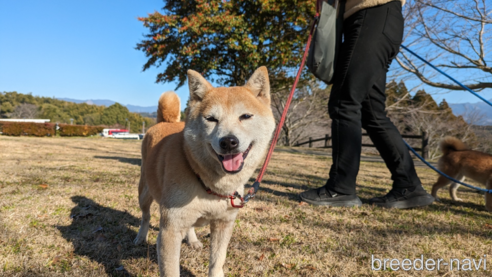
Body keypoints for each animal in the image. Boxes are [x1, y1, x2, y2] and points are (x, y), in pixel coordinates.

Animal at [133, 66, 274, 274]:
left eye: (246, 116)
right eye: (211, 119)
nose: (228, 142)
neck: (211, 184)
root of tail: (164, 122)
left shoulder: (224, 224)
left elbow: (217, 262)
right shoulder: (170, 230)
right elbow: (171, 270)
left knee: (189, 225)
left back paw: (192, 240)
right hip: (144, 193)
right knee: (145, 216)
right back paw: (141, 237)